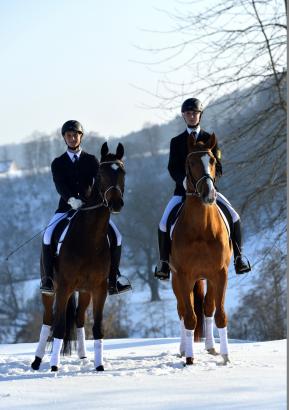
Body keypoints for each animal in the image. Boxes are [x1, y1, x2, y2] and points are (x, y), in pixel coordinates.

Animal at [31, 142, 125, 372]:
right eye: (100, 173)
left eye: (123, 171)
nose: (116, 204)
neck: (89, 238)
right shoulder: (64, 287)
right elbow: (58, 327)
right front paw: (54, 367)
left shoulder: (99, 288)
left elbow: (98, 327)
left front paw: (99, 366)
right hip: (51, 290)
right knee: (48, 320)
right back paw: (37, 361)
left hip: (84, 291)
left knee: (80, 318)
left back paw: (83, 357)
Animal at [170, 134, 231, 366]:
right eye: (192, 162)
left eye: (212, 160)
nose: (209, 195)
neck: (201, 229)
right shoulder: (183, 276)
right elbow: (189, 317)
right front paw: (189, 358)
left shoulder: (220, 273)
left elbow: (219, 314)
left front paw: (225, 356)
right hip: (176, 280)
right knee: (182, 311)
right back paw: (182, 348)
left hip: (209, 279)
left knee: (208, 308)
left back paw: (211, 347)